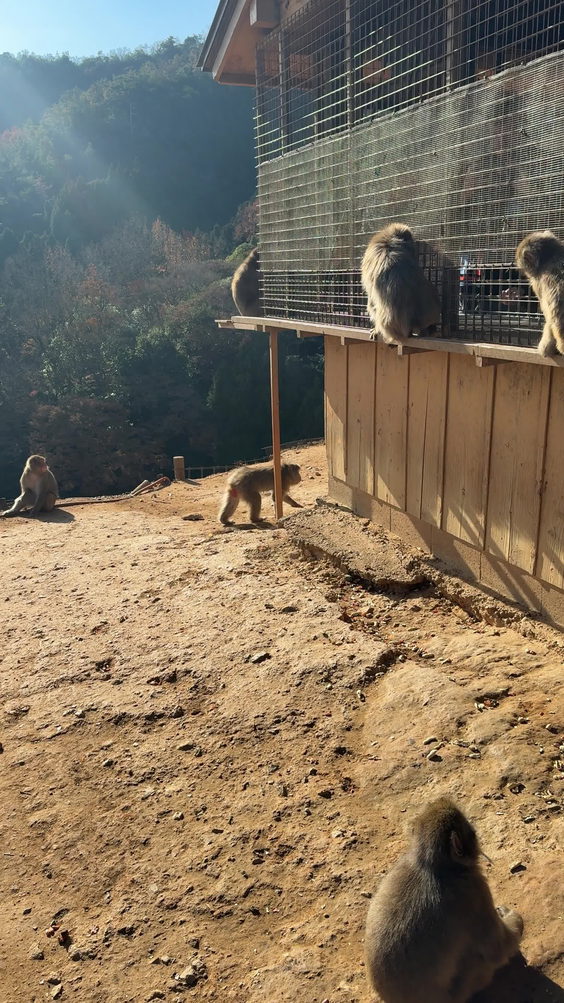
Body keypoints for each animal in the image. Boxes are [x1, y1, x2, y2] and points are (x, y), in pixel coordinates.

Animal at [365, 797, 523, 1003]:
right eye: (473, 834)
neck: (433, 867)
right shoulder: (475, 892)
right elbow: (498, 949)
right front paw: (514, 919)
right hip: (470, 981)